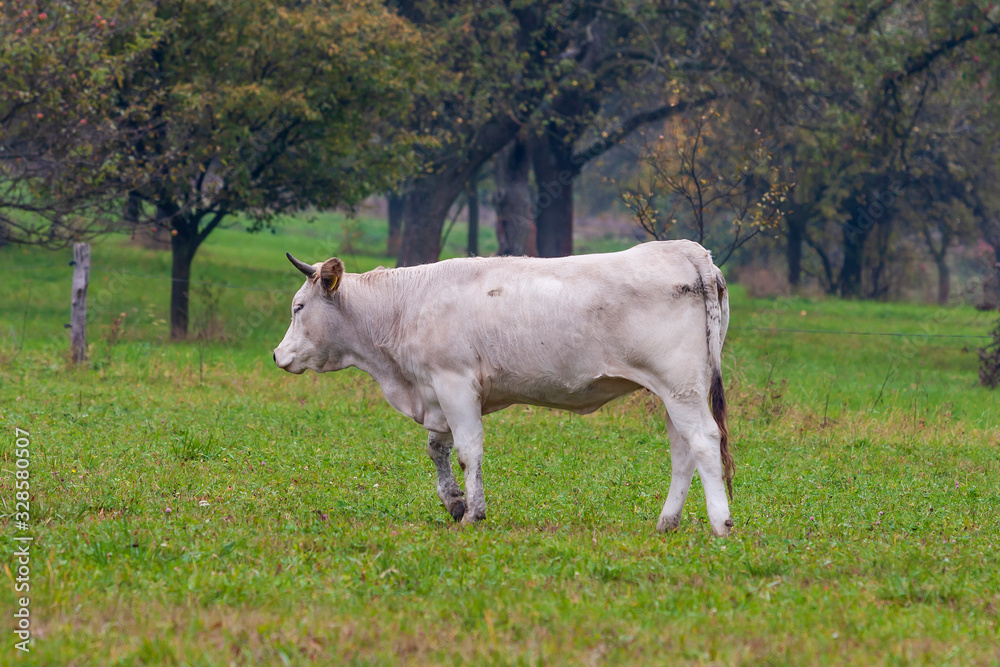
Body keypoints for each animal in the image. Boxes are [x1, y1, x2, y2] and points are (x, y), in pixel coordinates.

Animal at [273, 240, 735, 536]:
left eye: (298, 307)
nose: (278, 355)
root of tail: (686, 249)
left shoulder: (454, 382)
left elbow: (467, 449)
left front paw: (472, 513)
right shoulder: (437, 392)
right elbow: (437, 448)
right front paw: (454, 501)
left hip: (680, 387)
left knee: (704, 440)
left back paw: (720, 523)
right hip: (675, 392)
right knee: (682, 450)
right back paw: (667, 522)